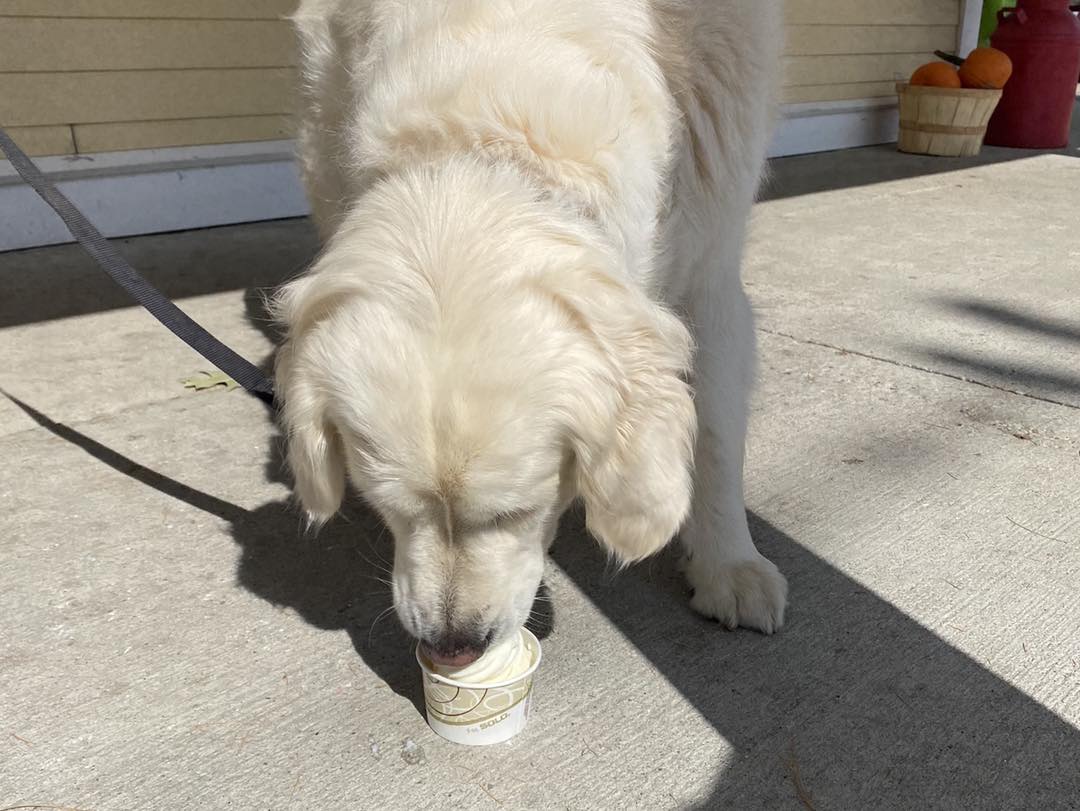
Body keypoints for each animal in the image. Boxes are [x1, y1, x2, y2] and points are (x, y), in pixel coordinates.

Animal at [274, 0, 788, 667]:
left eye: (516, 513)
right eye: (387, 508)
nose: (452, 647)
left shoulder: (714, 251)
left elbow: (718, 435)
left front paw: (729, 566)